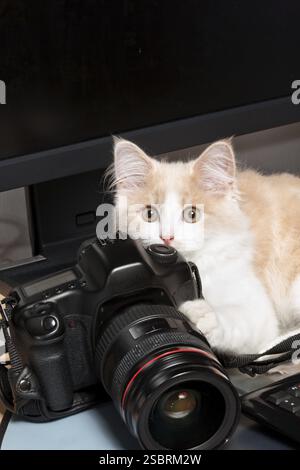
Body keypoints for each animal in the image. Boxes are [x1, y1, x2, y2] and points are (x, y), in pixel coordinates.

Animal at [109, 138, 300, 354]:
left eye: (192, 214)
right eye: (150, 214)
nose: (167, 238)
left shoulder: (255, 304)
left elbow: (236, 320)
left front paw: (202, 315)